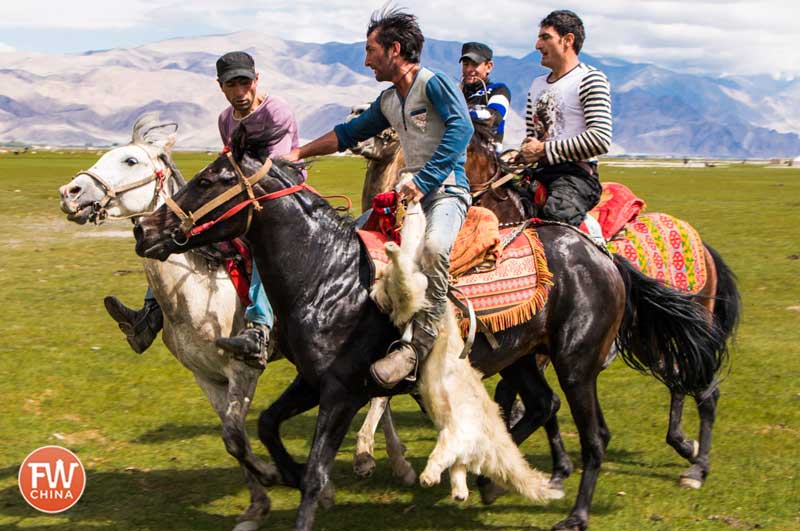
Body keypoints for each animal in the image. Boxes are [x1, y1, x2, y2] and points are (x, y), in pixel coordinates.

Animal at [59, 113, 280, 531]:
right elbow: (233, 438)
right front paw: (257, 504)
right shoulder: (207, 377)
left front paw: (271, 474)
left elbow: (235, 435)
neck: (199, 288)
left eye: (131, 160)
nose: (70, 192)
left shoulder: (244, 370)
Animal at [136, 130, 724, 531]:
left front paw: (312, 490)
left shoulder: (343, 391)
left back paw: (579, 511)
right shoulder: (311, 381)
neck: (328, 276)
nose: (146, 230)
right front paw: (287, 475)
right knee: (540, 406)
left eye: (210, 179)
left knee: (598, 433)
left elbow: (320, 465)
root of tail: (602, 256)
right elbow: (267, 426)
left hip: (576, 362)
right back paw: (489, 482)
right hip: (520, 357)